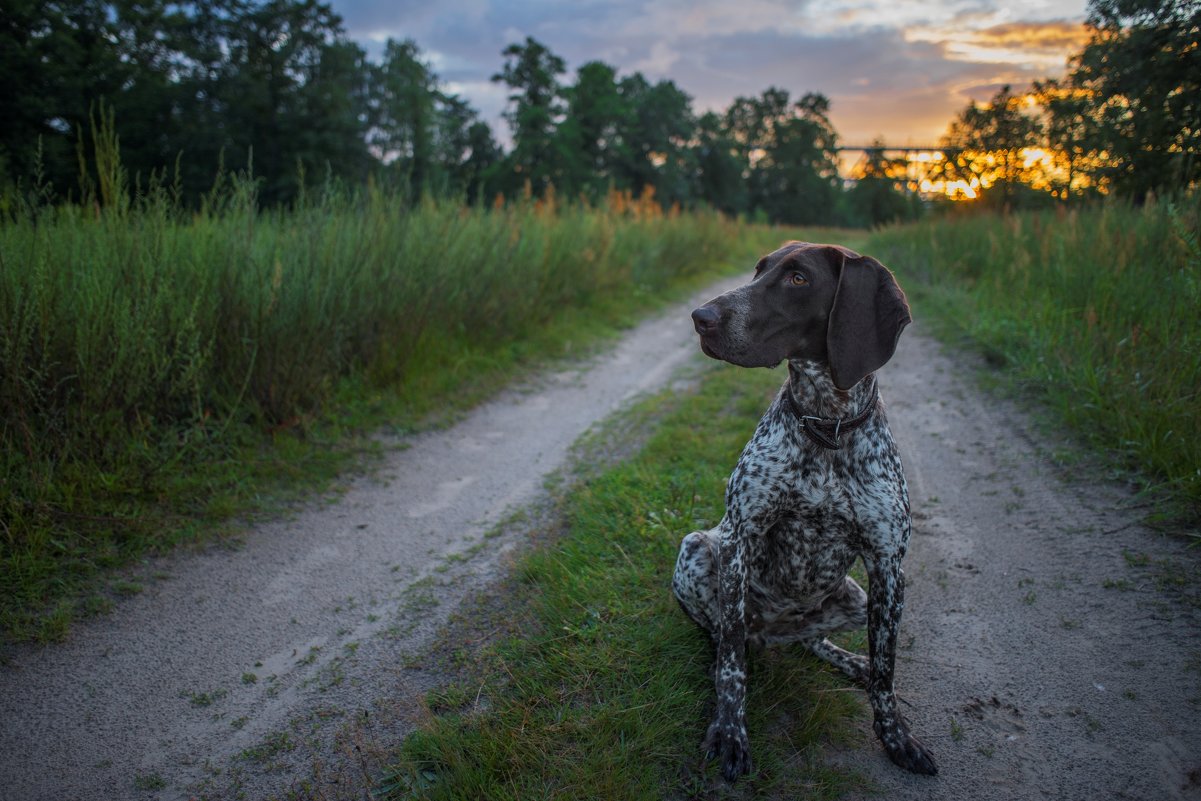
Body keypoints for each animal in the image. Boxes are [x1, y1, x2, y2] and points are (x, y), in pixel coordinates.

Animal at [672, 242, 931, 778]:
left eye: (797, 278)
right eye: (757, 270)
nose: (701, 317)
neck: (826, 424)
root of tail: (774, 635)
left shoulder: (888, 567)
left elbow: (887, 669)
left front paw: (897, 737)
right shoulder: (739, 537)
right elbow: (731, 663)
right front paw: (730, 732)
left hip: (855, 598)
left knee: (819, 644)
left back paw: (854, 665)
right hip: (697, 550)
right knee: (727, 639)